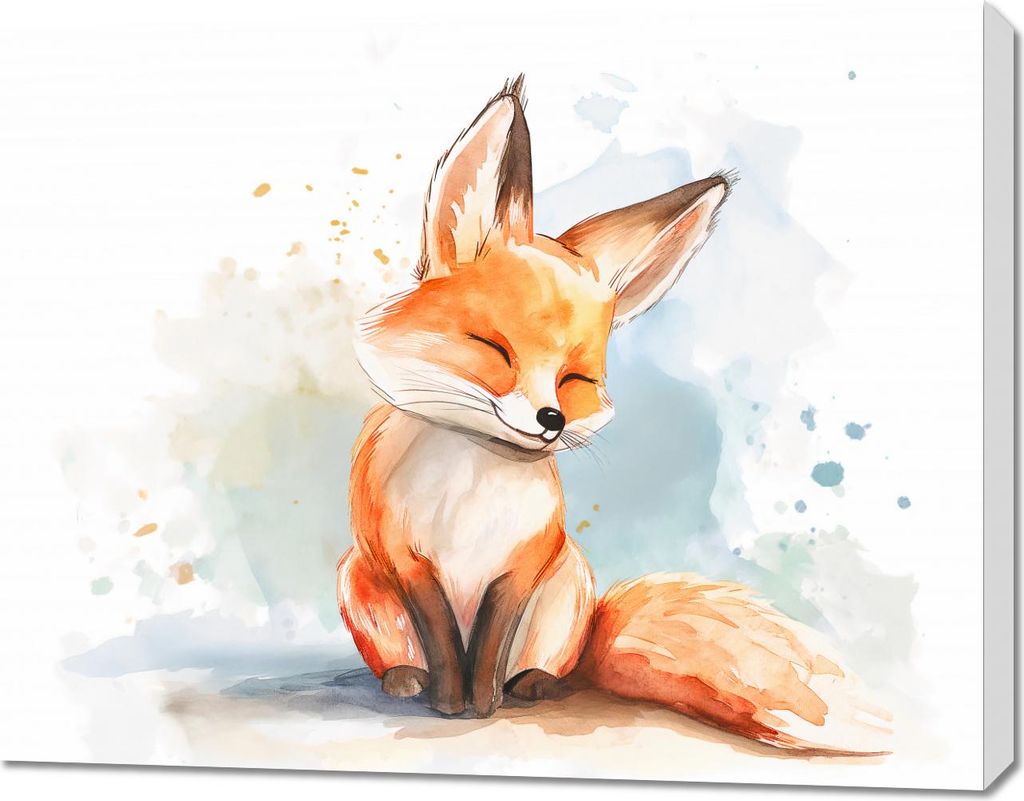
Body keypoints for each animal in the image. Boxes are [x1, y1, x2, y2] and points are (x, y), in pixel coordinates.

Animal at [337, 76, 889, 754]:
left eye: (576, 380)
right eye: (494, 349)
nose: (549, 418)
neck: (473, 477)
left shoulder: (521, 564)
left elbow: (489, 645)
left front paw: (483, 704)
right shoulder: (408, 561)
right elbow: (444, 641)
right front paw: (450, 703)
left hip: (568, 586)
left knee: (550, 668)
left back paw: (534, 686)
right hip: (358, 581)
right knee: (405, 656)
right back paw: (405, 681)